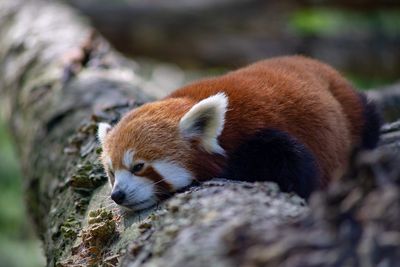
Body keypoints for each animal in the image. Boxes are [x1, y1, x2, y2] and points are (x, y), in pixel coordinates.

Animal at [97, 56, 382, 211]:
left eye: (138, 166)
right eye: (111, 173)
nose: (117, 195)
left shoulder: (259, 134)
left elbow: (296, 167)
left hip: (353, 111)